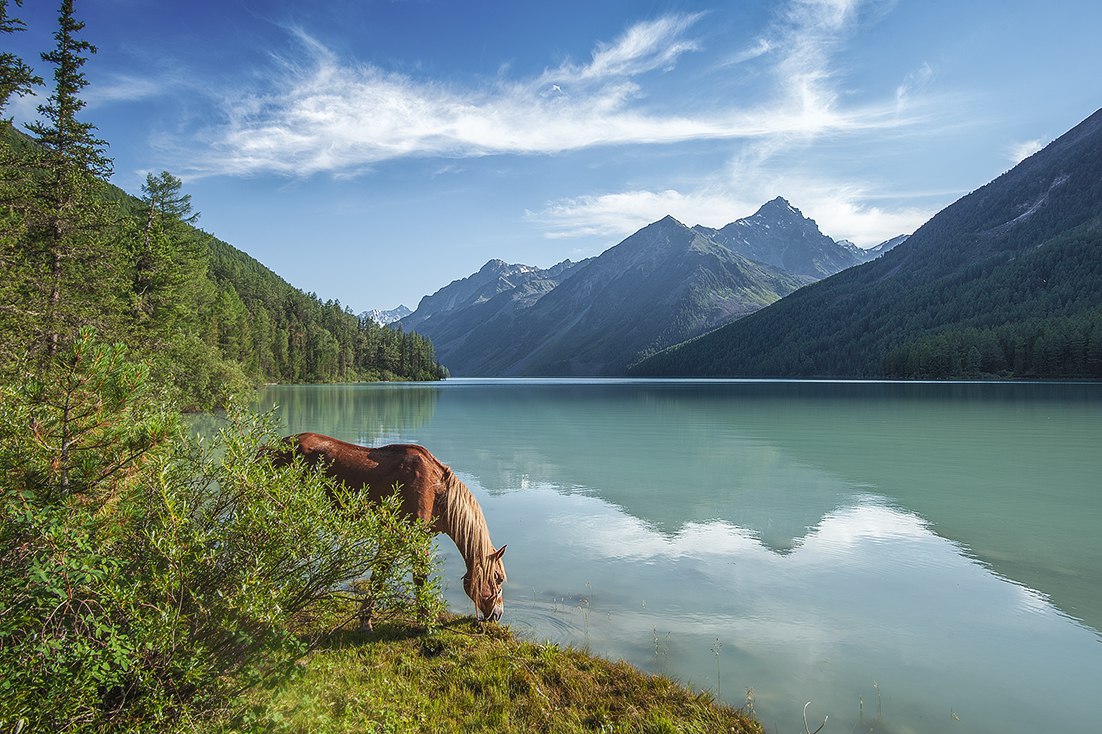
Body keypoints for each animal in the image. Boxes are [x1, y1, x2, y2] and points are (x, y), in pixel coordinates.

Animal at [266, 432, 506, 621]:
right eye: (498, 578)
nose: (498, 614)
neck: (436, 489)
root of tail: (270, 448)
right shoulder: (410, 537)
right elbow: (411, 576)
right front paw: (424, 622)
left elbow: (380, 575)